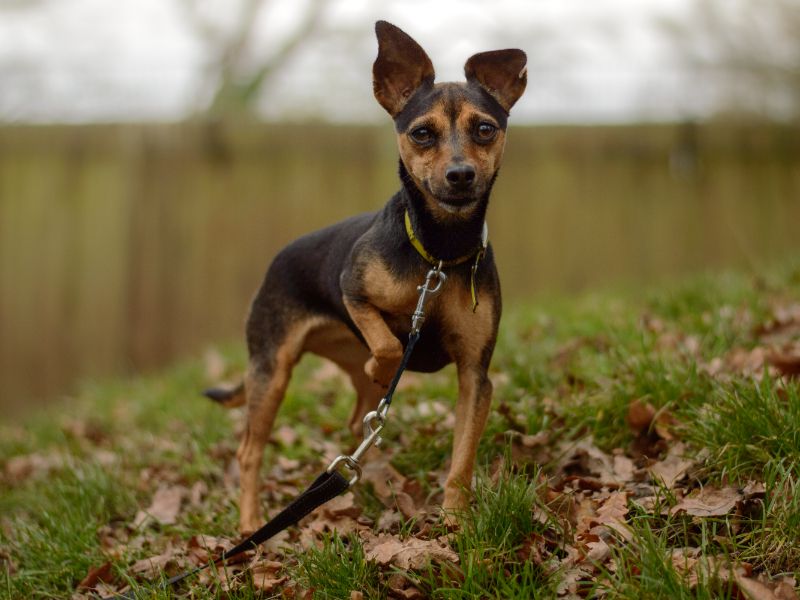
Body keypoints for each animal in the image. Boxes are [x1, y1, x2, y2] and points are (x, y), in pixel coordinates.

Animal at [208, 19, 524, 536]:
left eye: (484, 129)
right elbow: (389, 343)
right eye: (422, 133)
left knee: (357, 423)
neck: (438, 253)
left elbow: (462, 458)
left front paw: (455, 519)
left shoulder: (476, 375)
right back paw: (251, 522)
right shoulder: (351, 290)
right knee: (249, 451)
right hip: (271, 371)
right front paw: (383, 362)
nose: (460, 175)